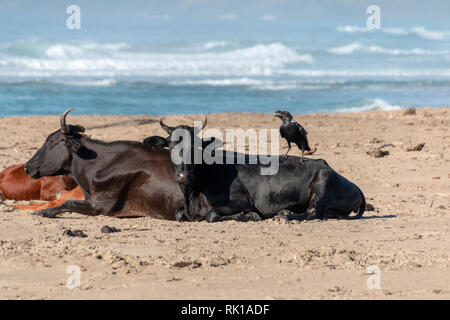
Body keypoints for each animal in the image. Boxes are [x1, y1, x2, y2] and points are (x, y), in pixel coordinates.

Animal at [158, 117, 366, 222]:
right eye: (171, 146)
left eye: (196, 147)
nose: (183, 175)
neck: (193, 195)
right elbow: (178, 214)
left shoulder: (242, 200)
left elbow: (212, 214)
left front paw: (250, 215)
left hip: (322, 183)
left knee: (314, 212)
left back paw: (286, 215)